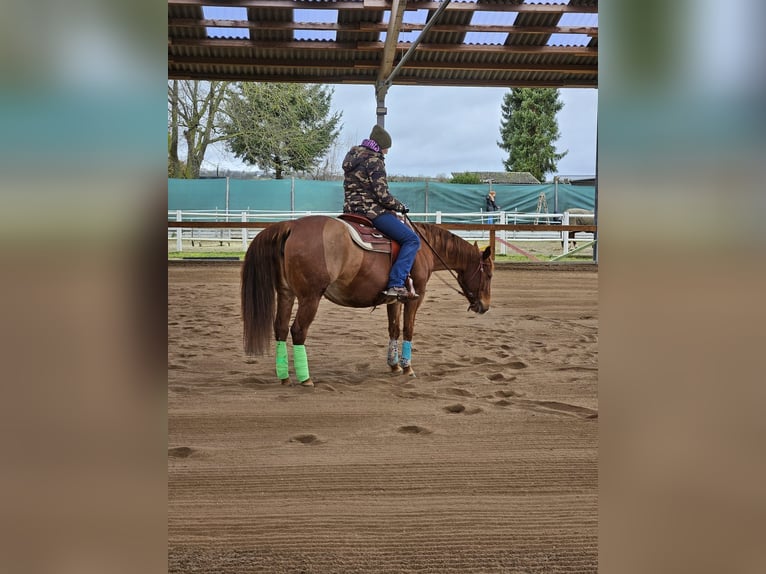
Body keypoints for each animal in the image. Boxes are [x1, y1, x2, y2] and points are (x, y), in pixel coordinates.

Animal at [241, 215, 493, 386]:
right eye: (489, 274)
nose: (484, 306)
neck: (423, 248)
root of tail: (291, 226)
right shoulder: (415, 297)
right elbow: (408, 329)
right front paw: (407, 367)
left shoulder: (395, 299)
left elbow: (394, 328)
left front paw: (394, 365)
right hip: (310, 298)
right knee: (298, 331)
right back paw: (306, 378)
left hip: (286, 294)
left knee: (281, 329)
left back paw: (284, 377)